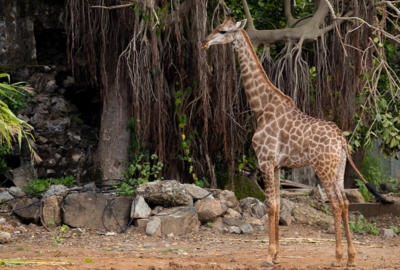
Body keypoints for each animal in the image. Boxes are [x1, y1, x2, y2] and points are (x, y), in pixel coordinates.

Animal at [202, 14, 390, 268]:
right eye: (216, 28)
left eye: (222, 31)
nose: (205, 42)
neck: (261, 108)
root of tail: (341, 140)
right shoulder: (277, 165)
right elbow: (278, 204)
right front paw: (276, 255)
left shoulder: (265, 160)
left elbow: (270, 205)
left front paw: (269, 256)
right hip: (339, 168)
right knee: (345, 201)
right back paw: (351, 258)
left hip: (323, 168)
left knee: (336, 203)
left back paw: (338, 257)